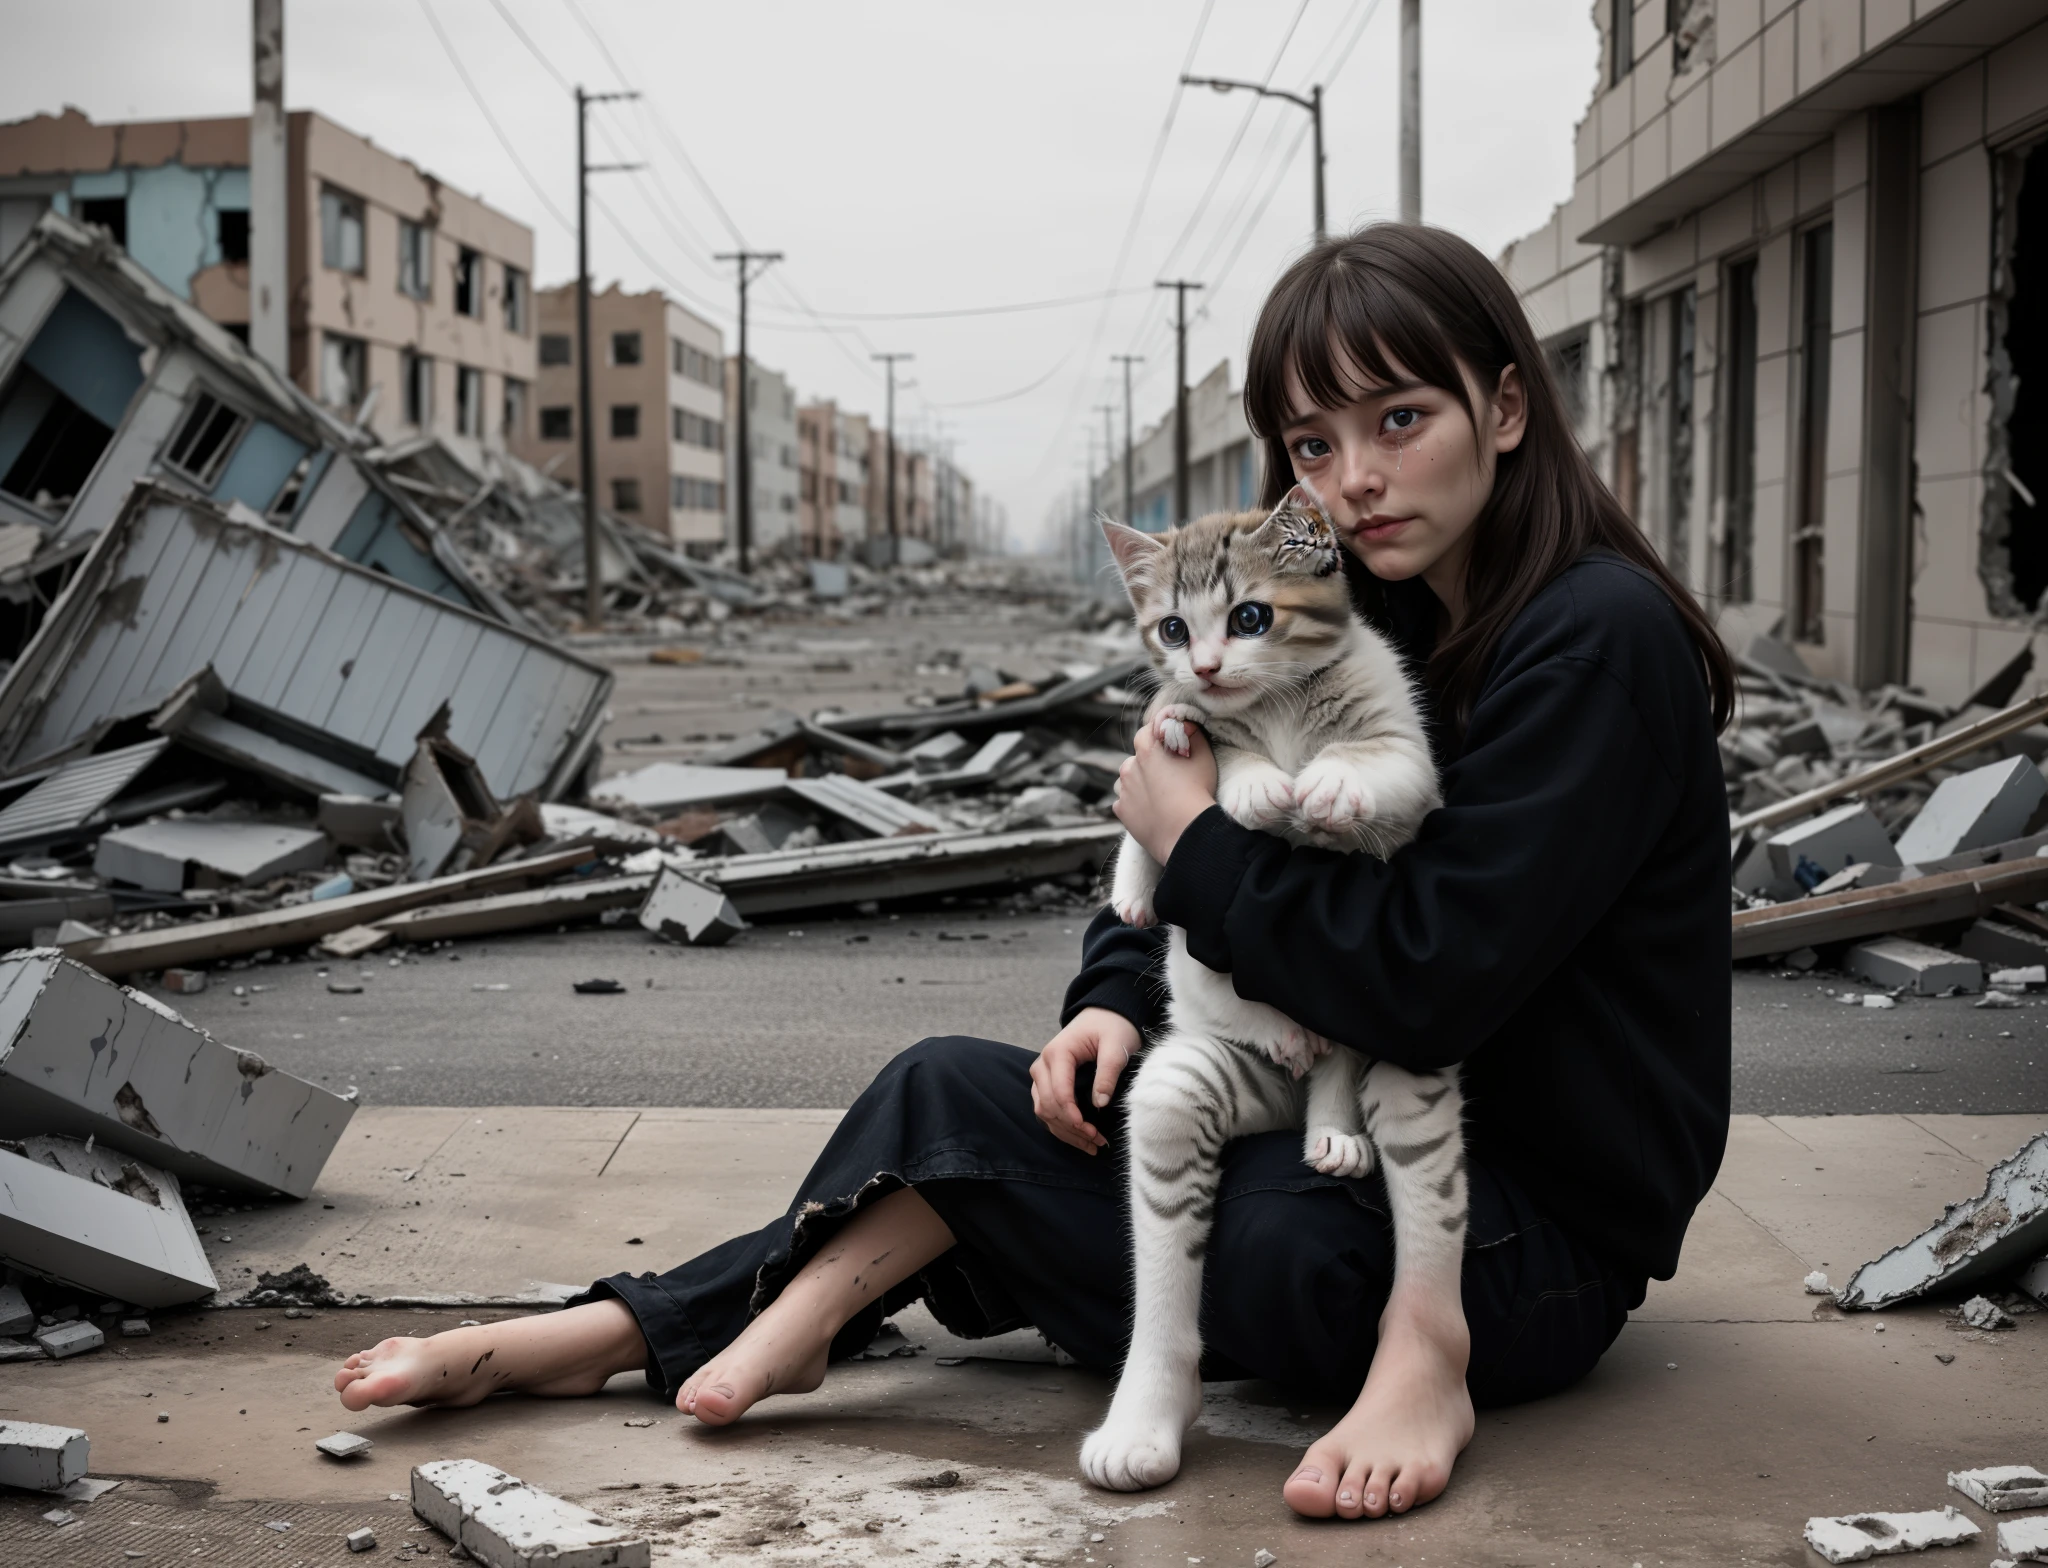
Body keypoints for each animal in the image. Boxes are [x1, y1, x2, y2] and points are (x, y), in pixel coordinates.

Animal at [1081, 487, 1466, 1498]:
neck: (1282, 704)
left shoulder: (1405, 752)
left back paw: (1332, 1123)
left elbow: (1381, 765)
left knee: (1343, 1042)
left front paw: (1326, 781)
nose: (1208, 666)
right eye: (1174, 628)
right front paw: (1246, 790)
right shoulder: (1196, 735)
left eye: (1250, 617)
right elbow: (1202, 762)